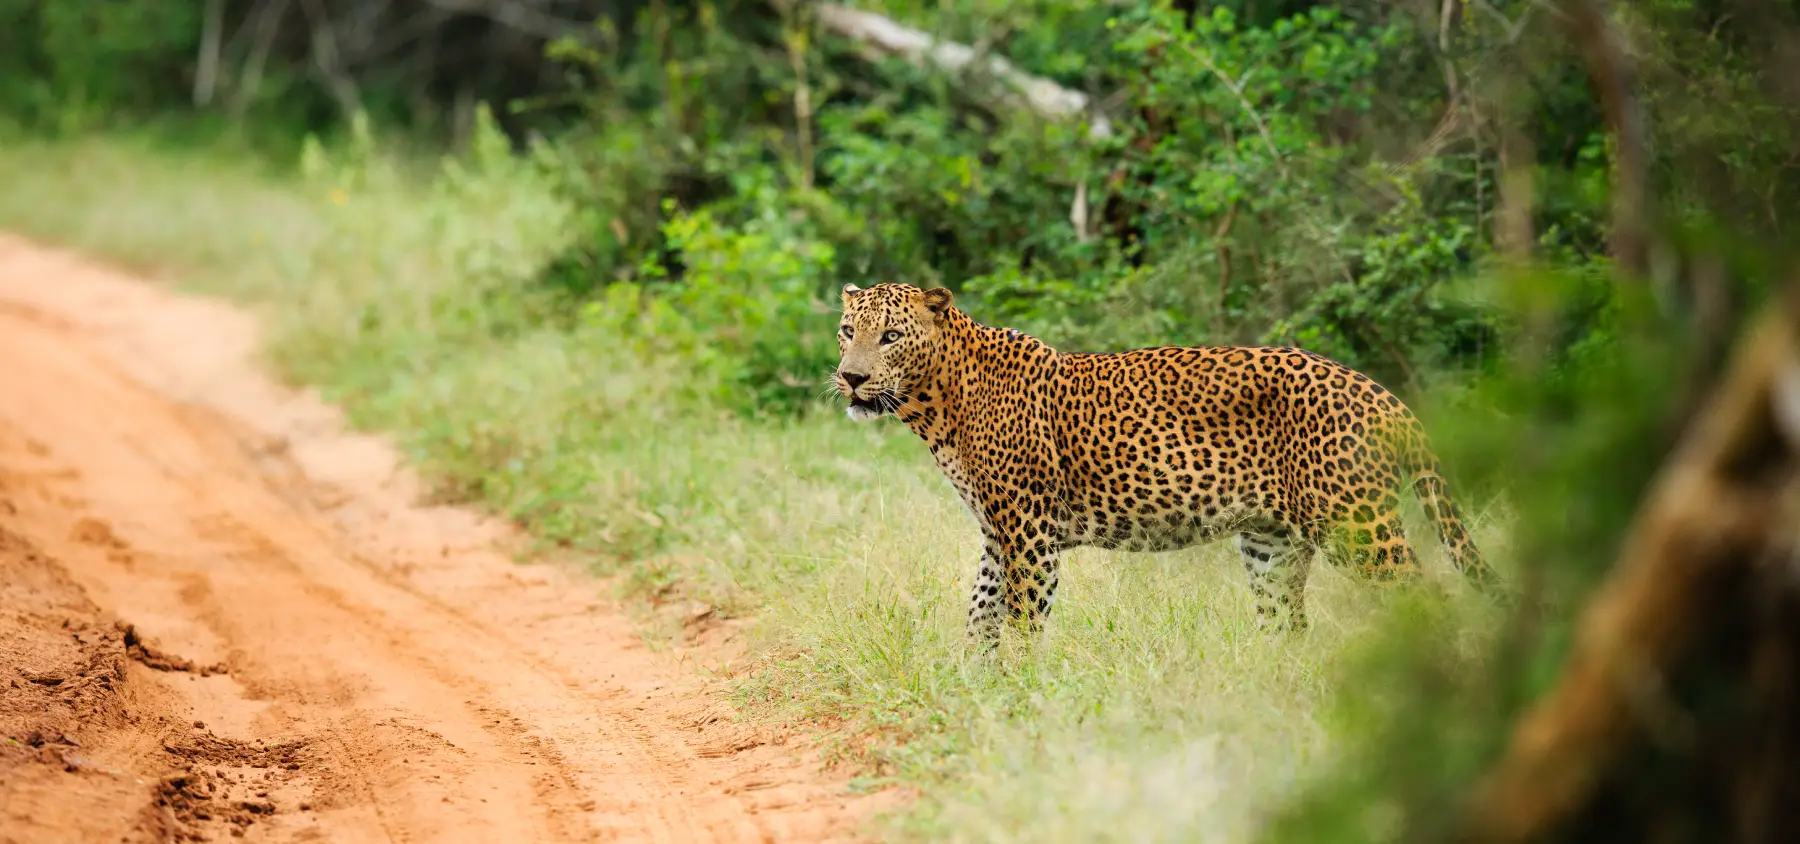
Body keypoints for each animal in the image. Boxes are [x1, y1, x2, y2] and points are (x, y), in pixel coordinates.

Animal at [835, 278, 1497, 640]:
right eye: (847, 331)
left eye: (891, 336)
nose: (851, 377)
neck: (936, 403)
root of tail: (1382, 394)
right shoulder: (998, 534)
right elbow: (980, 614)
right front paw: (975, 688)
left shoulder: (1029, 530)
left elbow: (1022, 619)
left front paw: (1021, 694)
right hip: (1272, 543)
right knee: (1287, 624)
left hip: (1357, 526)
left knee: (1425, 596)